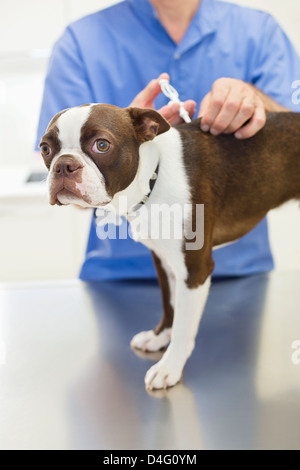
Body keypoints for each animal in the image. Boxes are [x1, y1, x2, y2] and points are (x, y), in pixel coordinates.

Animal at [39, 105, 300, 390]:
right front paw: (158, 338)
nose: (64, 165)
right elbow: (170, 305)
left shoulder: (194, 270)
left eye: (102, 145)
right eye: (45, 149)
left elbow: (184, 326)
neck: (154, 178)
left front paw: (169, 367)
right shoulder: (164, 261)